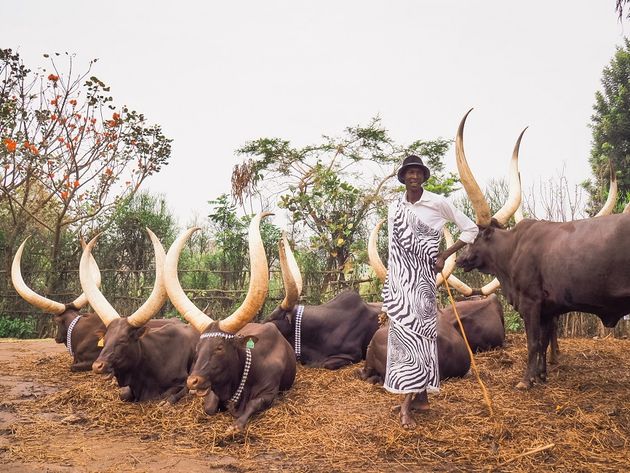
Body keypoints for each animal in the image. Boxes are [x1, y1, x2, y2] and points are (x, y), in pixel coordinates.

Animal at [80, 229, 200, 402]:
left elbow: (170, 395)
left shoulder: (184, 381)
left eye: (123, 340)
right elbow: (123, 394)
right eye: (106, 339)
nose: (98, 366)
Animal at [165, 212, 298, 434]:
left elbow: (253, 404)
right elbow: (209, 407)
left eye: (219, 347)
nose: (194, 380)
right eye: (198, 348)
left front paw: (235, 426)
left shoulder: (269, 393)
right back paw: (169, 400)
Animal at [454, 109, 630, 388]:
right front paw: (541, 375)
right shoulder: (549, 308)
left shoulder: (531, 304)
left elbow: (534, 343)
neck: (512, 249)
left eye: (475, 237)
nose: (460, 260)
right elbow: (544, 342)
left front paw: (526, 381)